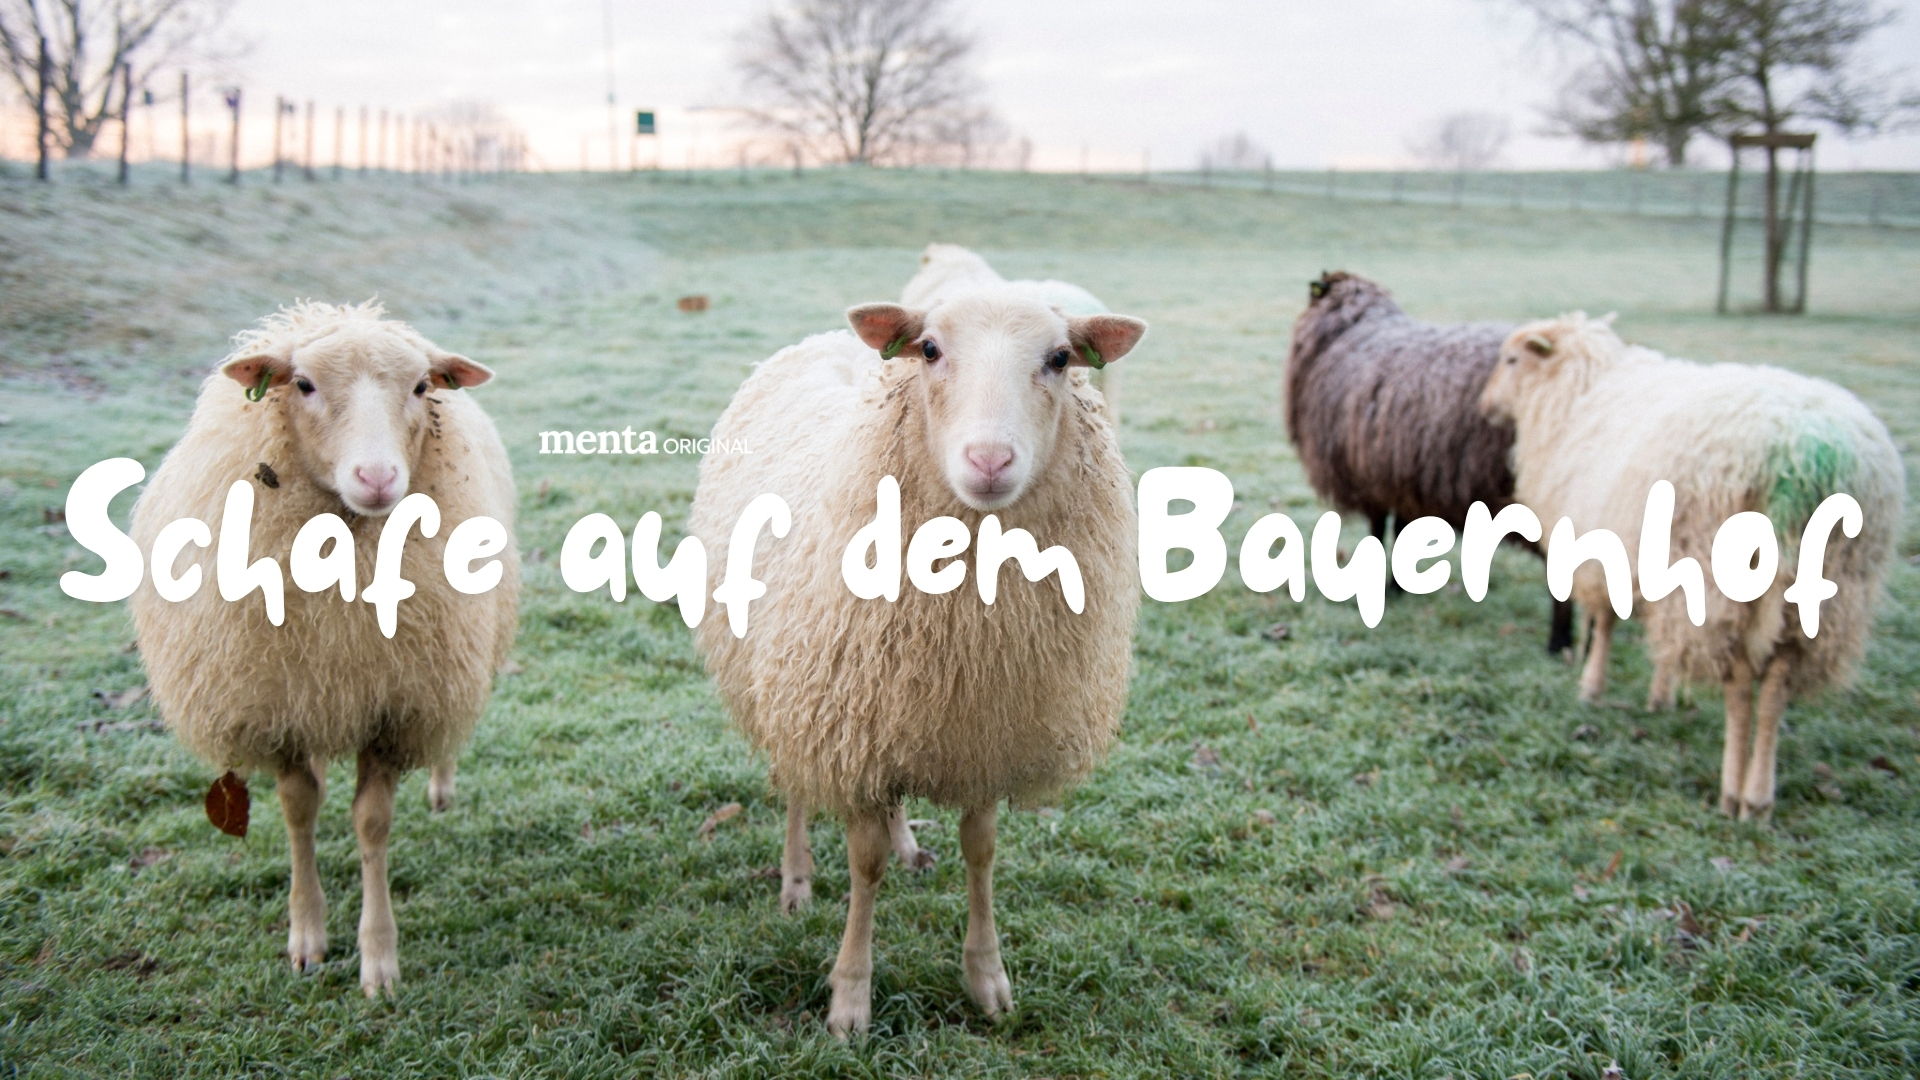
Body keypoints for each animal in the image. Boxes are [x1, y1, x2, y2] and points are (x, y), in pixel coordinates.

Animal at [128, 300, 519, 995]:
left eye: (421, 385)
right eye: (303, 385)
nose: (377, 476)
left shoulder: (395, 705)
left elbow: (371, 823)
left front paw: (378, 958)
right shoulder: (279, 705)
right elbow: (298, 810)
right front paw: (307, 936)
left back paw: (441, 787)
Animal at [689, 289, 1145, 1035]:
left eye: (1059, 358)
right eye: (930, 350)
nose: (989, 461)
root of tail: (821, 341)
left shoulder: (979, 730)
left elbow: (981, 850)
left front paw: (987, 976)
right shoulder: (847, 724)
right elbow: (864, 866)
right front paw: (849, 997)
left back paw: (908, 844)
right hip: (794, 686)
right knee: (796, 787)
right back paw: (796, 880)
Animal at [1480, 312, 1903, 821]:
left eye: (1510, 359)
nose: (1483, 408)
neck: (1580, 391)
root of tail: (1800, 458)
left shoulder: (1601, 548)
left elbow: (1604, 624)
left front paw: (1592, 688)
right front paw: (1661, 696)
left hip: (1720, 576)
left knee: (1740, 684)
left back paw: (1734, 793)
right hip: (1830, 593)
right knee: (1777, 686)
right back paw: (1760, 797)